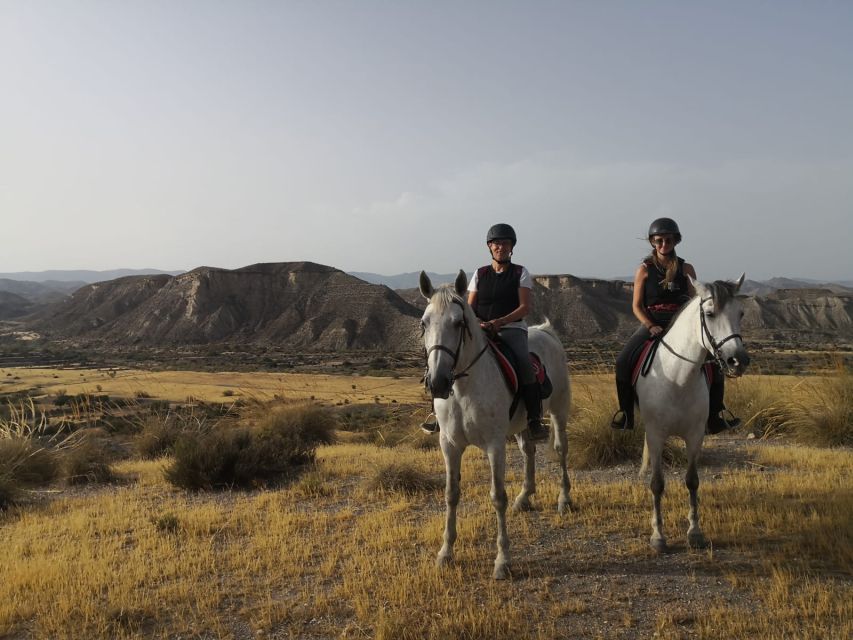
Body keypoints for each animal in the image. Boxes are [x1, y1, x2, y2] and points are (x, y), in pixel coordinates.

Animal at [416, 270, 568, 580]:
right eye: (424, 323)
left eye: (458, 322)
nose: (437, 383)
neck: (463, 387)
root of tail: (546, 331)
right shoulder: (449, 445)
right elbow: (451, 494)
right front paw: (445, 553)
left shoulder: (494, 446)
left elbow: (498, 497)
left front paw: (502, 560)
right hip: (523, 424)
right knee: (528, 451)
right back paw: (525, 497)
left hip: (559, 410)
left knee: (560, 450)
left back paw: (564, 500)